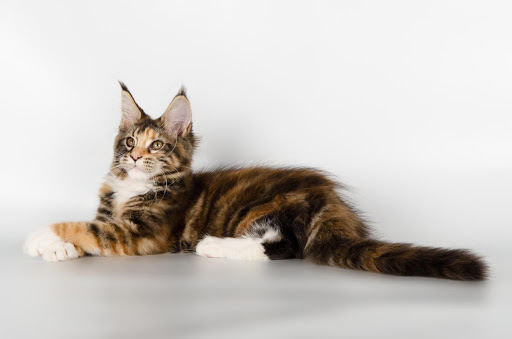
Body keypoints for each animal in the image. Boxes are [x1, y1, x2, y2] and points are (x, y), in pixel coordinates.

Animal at [24, 83, 488, 282]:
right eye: (128, 142)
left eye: (156, 145)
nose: (136, 158)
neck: (132, 186)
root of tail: (331, 200)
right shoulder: (113, 216)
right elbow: (89, 227)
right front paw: (58, 249)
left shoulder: (141, 232)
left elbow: (85, 226)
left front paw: (40, 237)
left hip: (267, 208)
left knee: (286, 247)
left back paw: (212, 245)